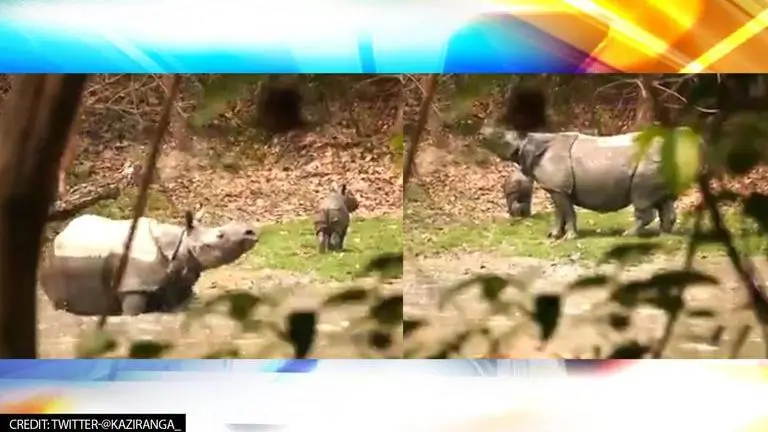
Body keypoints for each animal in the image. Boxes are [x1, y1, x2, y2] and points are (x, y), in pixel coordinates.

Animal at [39, 211, 259, 316]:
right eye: (220, 236)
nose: (251, 231)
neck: (180, 244)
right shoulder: (133, 284)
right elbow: (133, 311)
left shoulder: (178, 276)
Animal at [479, 125, 677, 239]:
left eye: (499, 135)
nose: (480, 132)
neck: (527, 143)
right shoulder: (556, 188)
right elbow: (558, 212)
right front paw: (553, 235)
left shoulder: (560, 188)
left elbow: (567, 212)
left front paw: (570, 238)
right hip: (660, 162)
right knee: (663, 200)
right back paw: (664, 236)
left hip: (647, 164)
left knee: (641, 197)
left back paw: (628, 235)